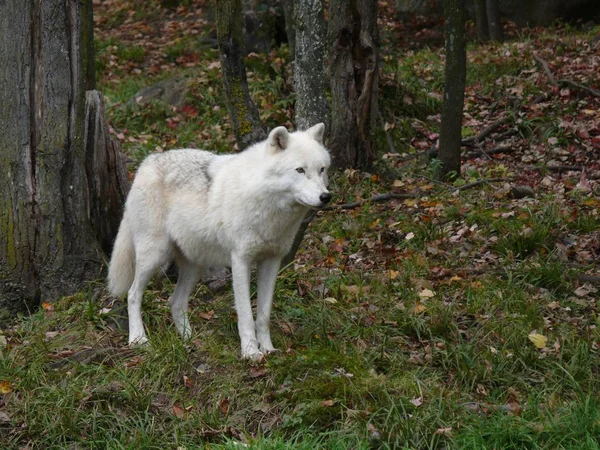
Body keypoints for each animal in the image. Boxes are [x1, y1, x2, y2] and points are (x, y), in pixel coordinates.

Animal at [108, 125, 332, 360]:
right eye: (300, 170)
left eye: (321, 169)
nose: (326, 197)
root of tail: (147, 162)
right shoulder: (240, 261)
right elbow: (246, 315)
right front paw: (250, 352)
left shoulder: (272, 262)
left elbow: (263, 315)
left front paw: (268, 349)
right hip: (154, 256)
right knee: (133, 294)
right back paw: (138, 340)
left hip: (194, 267)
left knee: (175, 301)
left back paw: (190, 340)